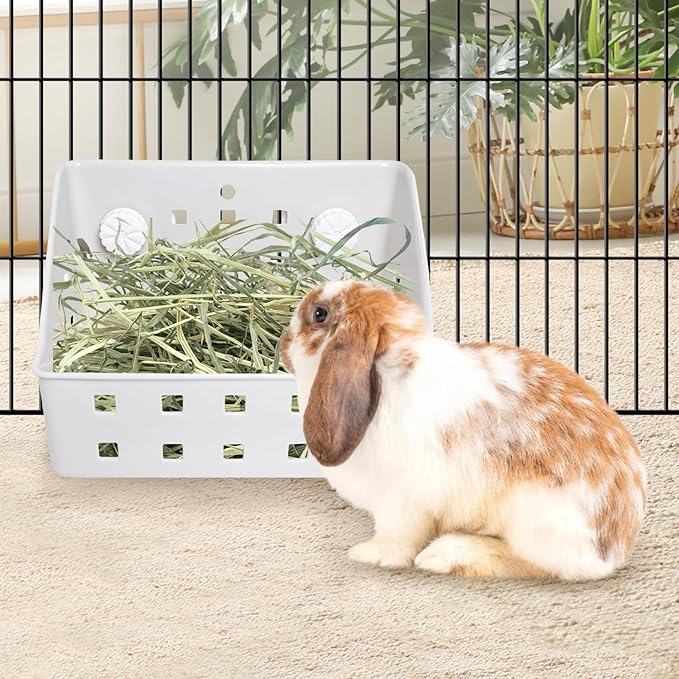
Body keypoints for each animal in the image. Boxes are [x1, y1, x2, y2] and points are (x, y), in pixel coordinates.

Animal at [280, 280, 647, 580]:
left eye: (319, 313)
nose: (284, 342)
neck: (385, 372)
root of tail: (616, 546)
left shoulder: (402, 499)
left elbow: (397, 537)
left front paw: (369, 555)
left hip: (533, 518)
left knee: (544, 565)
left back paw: (446, 556)